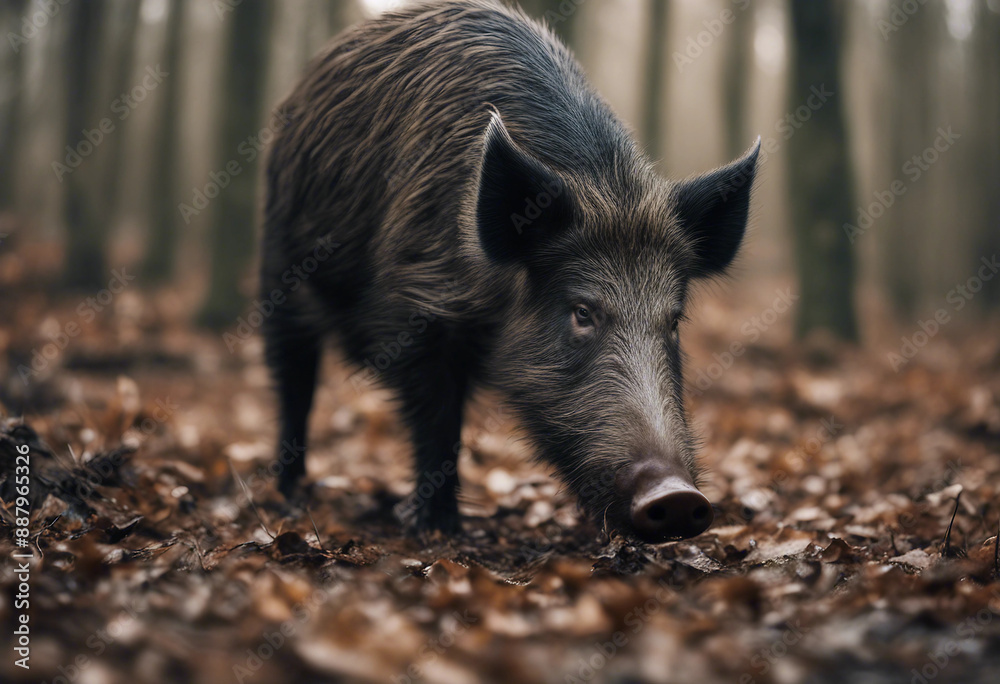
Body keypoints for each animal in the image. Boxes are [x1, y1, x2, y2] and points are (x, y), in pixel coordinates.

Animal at [260, 0, 759, 542]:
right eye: (582, 311)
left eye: (674, 320)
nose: (678, 496)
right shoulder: (416, 308)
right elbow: (438, 421)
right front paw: (440, 530)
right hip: (280, 268)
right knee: (293, 378)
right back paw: (289, 493)